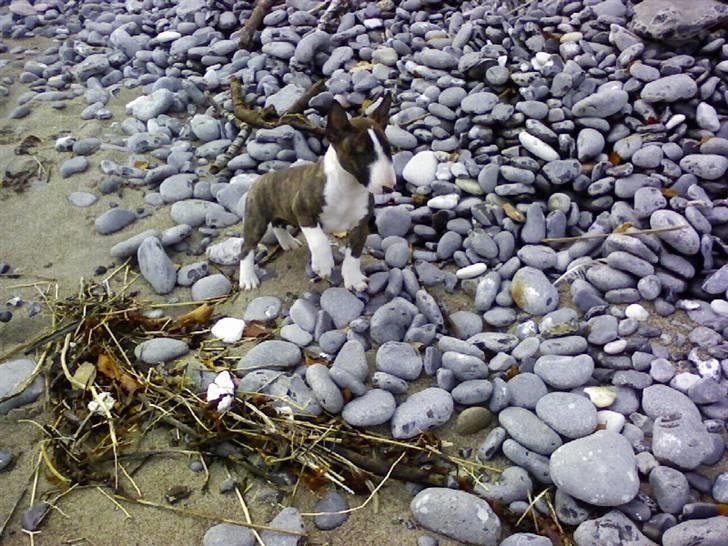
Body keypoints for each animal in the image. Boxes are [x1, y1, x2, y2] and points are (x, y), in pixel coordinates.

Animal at [239, 94, 396, 288]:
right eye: (361, 152)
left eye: (388, 149)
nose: (389, 186)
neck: (348, 187)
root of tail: (260, 178)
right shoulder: (302, 210)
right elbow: (319, 239)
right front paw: (323, 265)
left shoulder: (360, 225)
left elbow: (354, 253)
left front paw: (353, 279)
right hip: (257, 219)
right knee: (247, 247)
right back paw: (248, 278)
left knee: (277, 224)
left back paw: (288, 242)